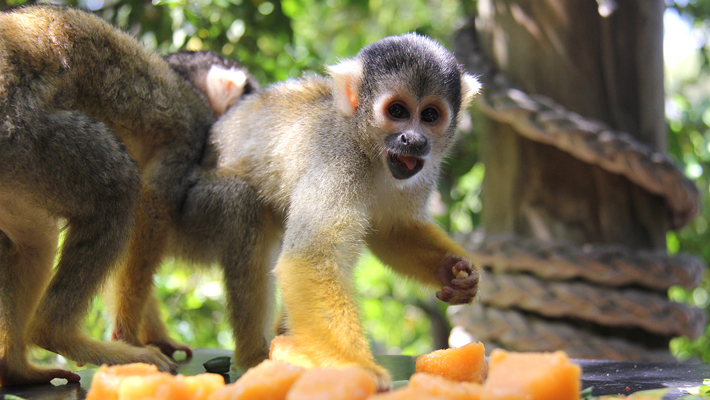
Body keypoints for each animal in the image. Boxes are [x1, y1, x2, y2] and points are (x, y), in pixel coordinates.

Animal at [0, 3, 222, 384]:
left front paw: (155, 335)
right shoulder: (191, 132)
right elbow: (151, 206)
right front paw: (130, 335)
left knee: (34, 240)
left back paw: (15, 369)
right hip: (19, 137)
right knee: (117, 188)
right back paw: (56, 334)